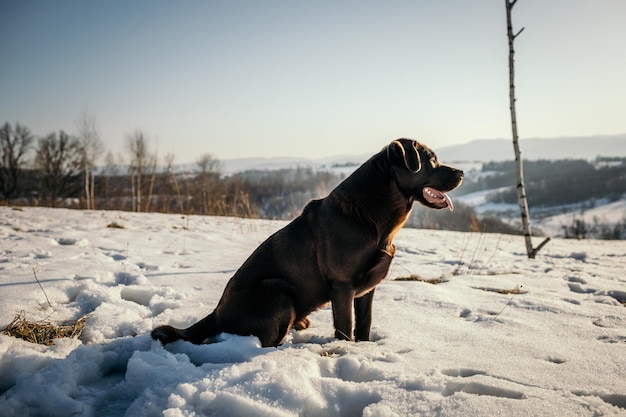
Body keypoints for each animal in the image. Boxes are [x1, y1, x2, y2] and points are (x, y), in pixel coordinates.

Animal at [152, 138, 464, 346]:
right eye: (431, 160)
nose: (461, 173)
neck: (372, 216)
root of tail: (216, 314)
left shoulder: (366, 290)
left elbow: (364, 323)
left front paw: (364, 348)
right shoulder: (342, 286)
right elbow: (345, 327)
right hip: (276, 290)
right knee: (266, 340)